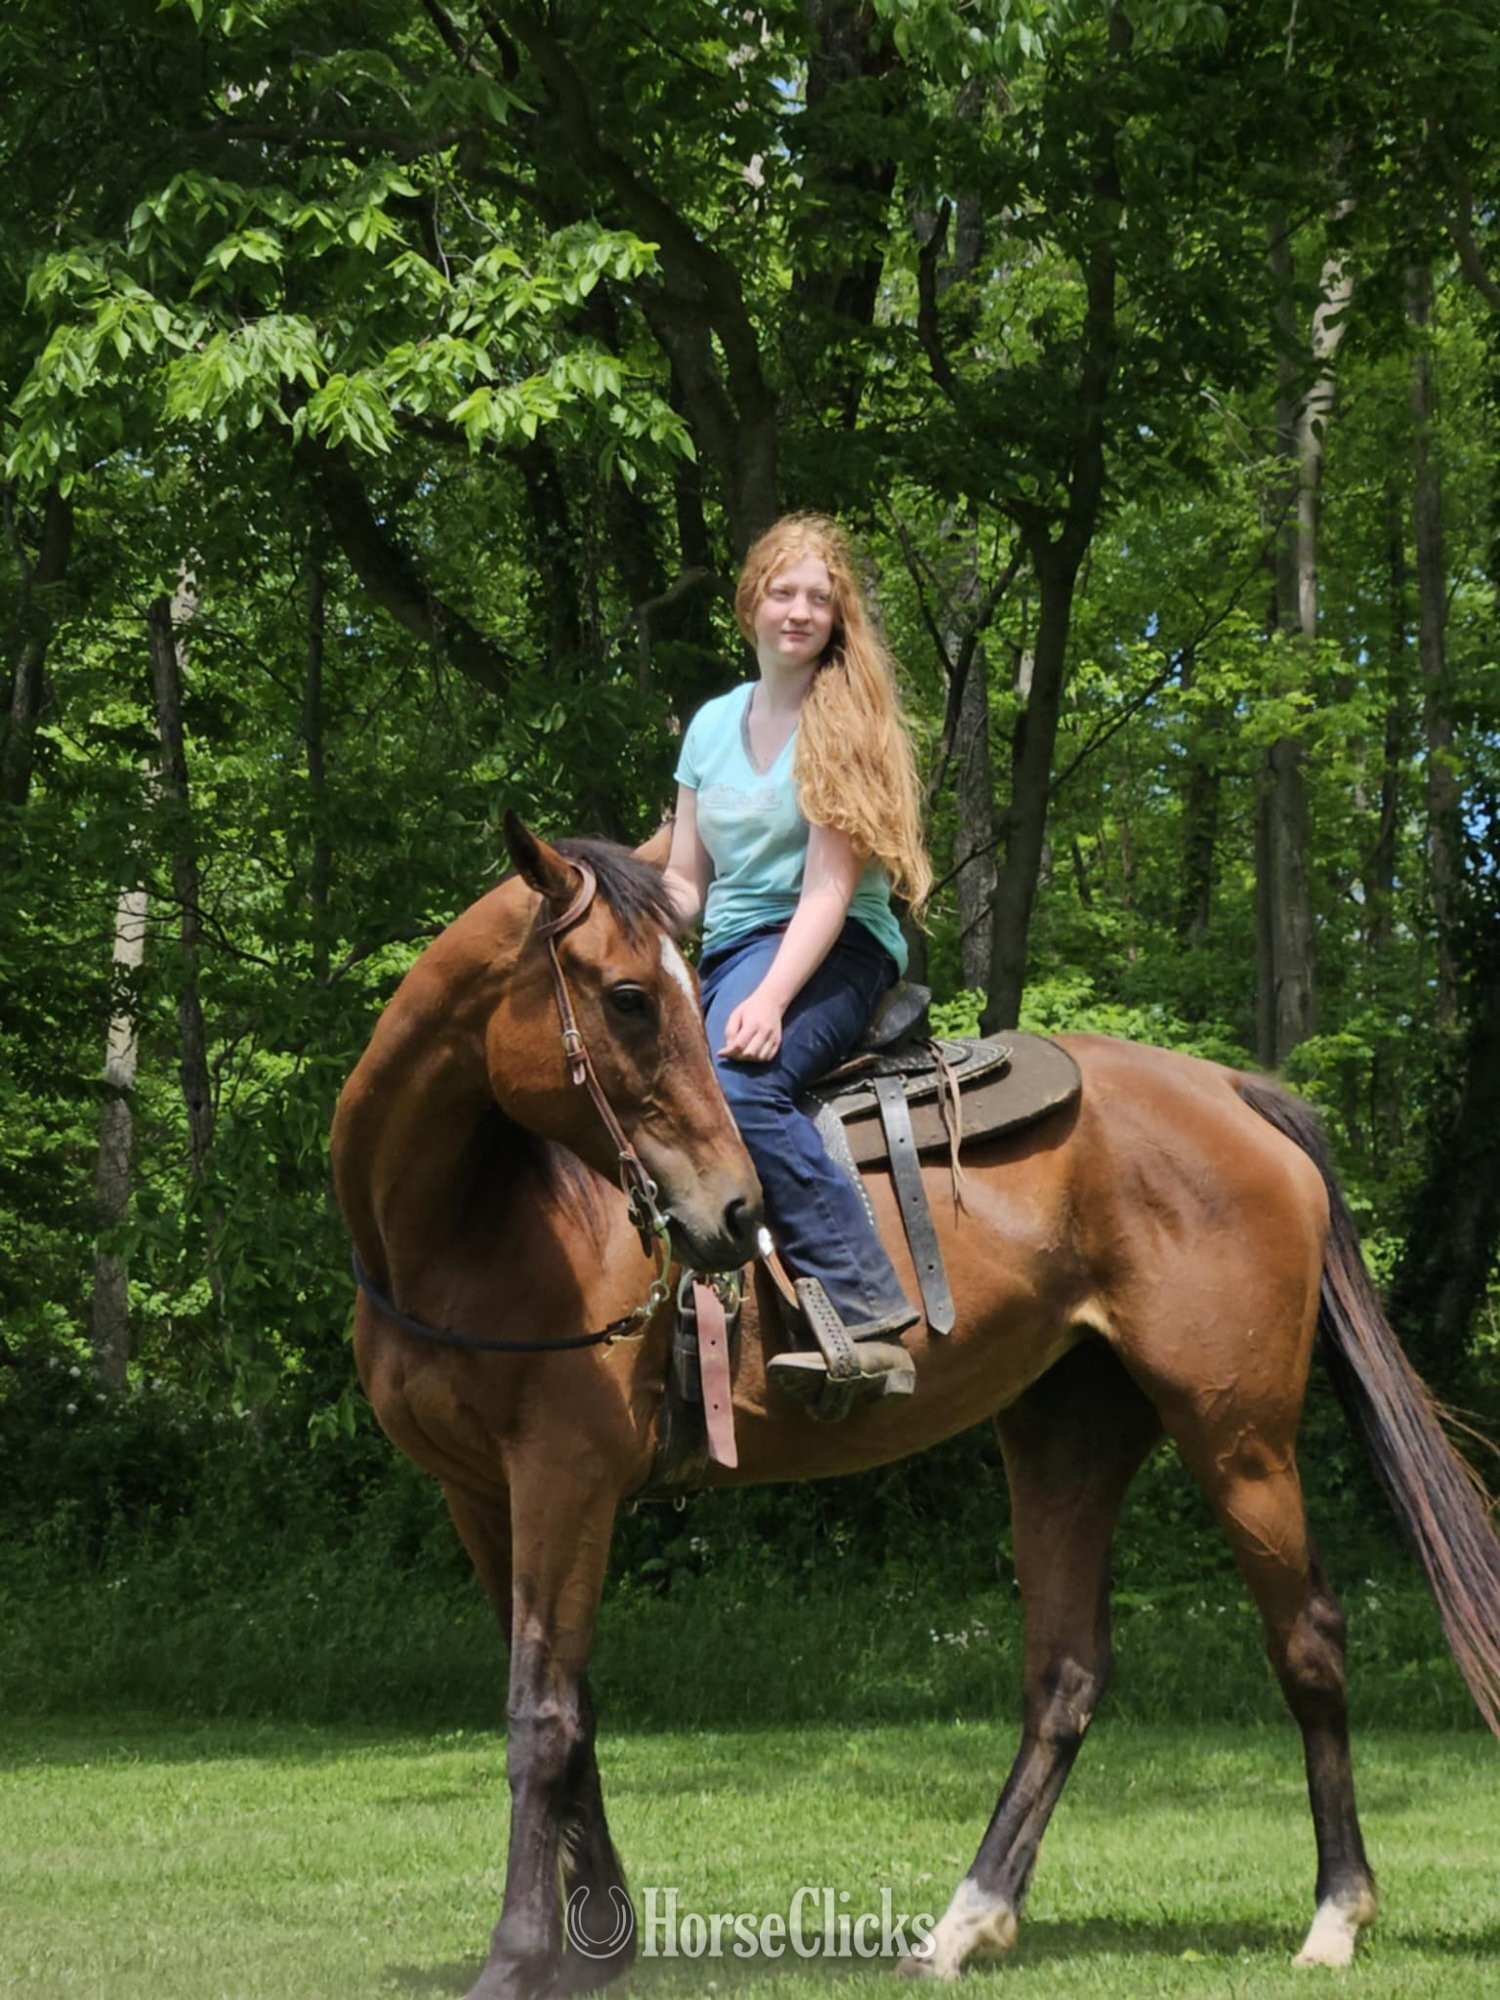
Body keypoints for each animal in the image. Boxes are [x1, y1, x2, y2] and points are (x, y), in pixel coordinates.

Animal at [332, 818, 1500, 2000]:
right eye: (625, 996)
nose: (734, 1211)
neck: (473, 1226)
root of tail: (1228, 1088)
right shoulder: (484, 1491)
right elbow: (571, 1704)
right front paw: (600, 1939)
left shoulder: (567, 1476)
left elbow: (541, 1713)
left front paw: (520, 1954)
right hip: (1070, 1431)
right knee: (1066, 1672)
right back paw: (963, 1924)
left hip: (1238, 1434)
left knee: (1307, 1639)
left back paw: (1335, 1912)